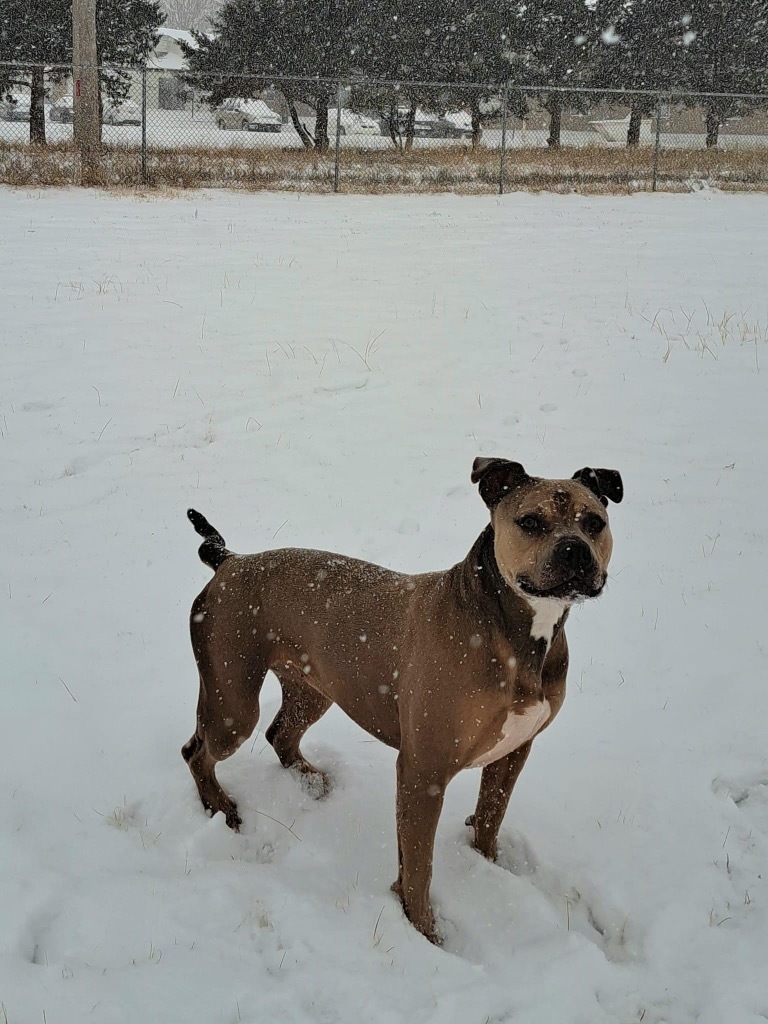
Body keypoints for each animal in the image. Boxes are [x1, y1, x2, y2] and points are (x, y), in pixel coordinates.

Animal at [183, 460, 622, 937]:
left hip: (315, 688)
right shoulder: (423, 772)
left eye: (594, 522)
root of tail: (230, 561)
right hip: (231, 702)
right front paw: (424, 929)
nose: (575, 551)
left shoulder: (514, 750)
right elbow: (418, 864)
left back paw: (309, 780)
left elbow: (491, 815)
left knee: (280, 732)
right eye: (530, 522)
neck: (509, 629)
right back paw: (220, 806)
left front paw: (487, 863)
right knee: (198, 750)